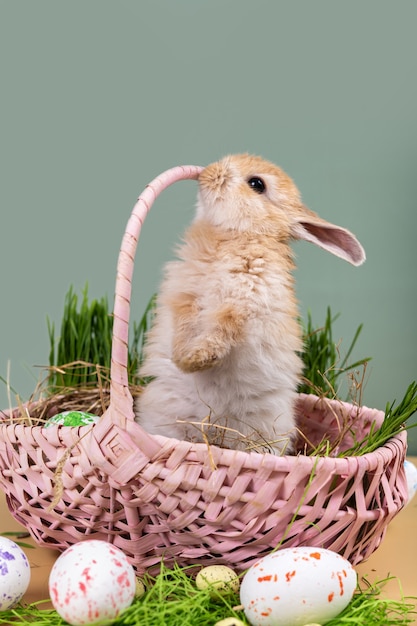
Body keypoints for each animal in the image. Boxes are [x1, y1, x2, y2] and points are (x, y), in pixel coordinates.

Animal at [134, 152, 364, 454]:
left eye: (257, 184)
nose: (209, 172)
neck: (240, 234)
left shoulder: (244, 305)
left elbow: (222, 331)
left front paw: (196, 360)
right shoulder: (185, 297)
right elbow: (185, 326)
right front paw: (185, 359)